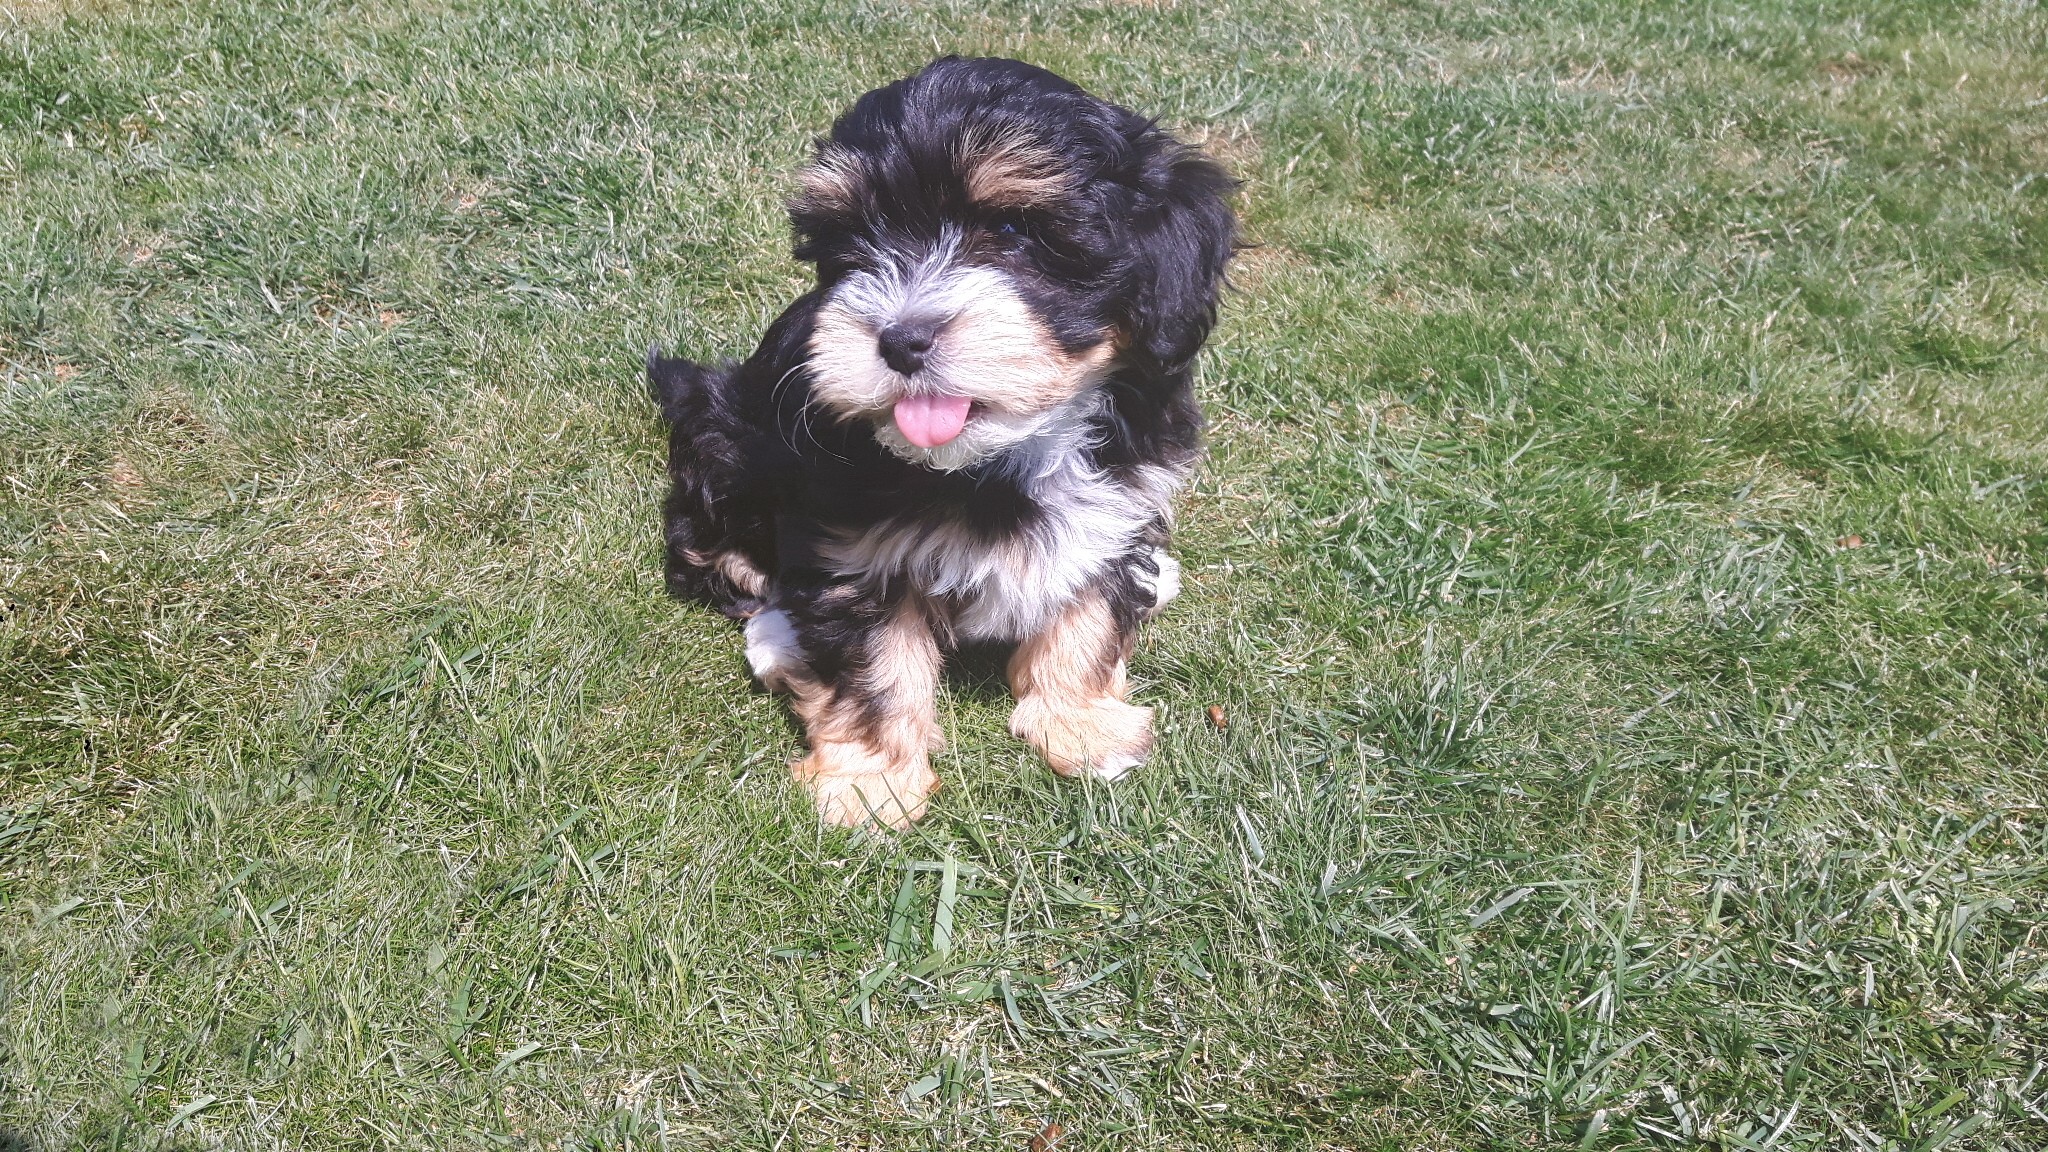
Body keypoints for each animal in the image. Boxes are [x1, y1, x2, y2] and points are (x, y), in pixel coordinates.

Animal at [650, 56, 1235, 828]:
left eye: (1015, 228)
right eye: (853, 243)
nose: (900, 338)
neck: (1001, 456)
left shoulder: (1117, 498)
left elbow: (1086, 611)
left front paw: (1081, 723)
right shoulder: (859, 550)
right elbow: (876, 664)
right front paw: (871, 781)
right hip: (721, 445)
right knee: (732, 561)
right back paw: (777, 635)